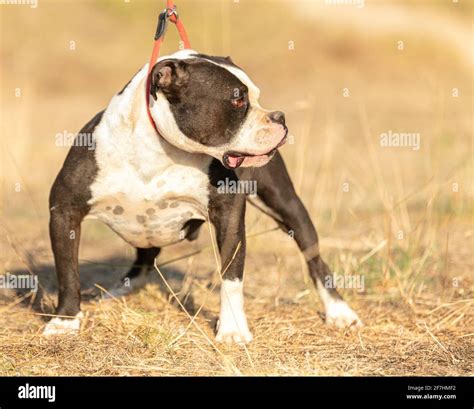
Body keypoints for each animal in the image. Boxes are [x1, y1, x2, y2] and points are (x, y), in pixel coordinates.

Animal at [44, 48, 362, 342]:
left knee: (314, 258)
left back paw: (338, 312)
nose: (279, 117)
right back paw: (117, 291)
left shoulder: (228, 218)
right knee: (145, 257)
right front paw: (65, 321)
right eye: (238, 99)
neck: (157, 150)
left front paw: (232, 330)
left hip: (288, 206)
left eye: (256, 96)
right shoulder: (64, 213)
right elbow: (67, 271)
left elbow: (231, 277)